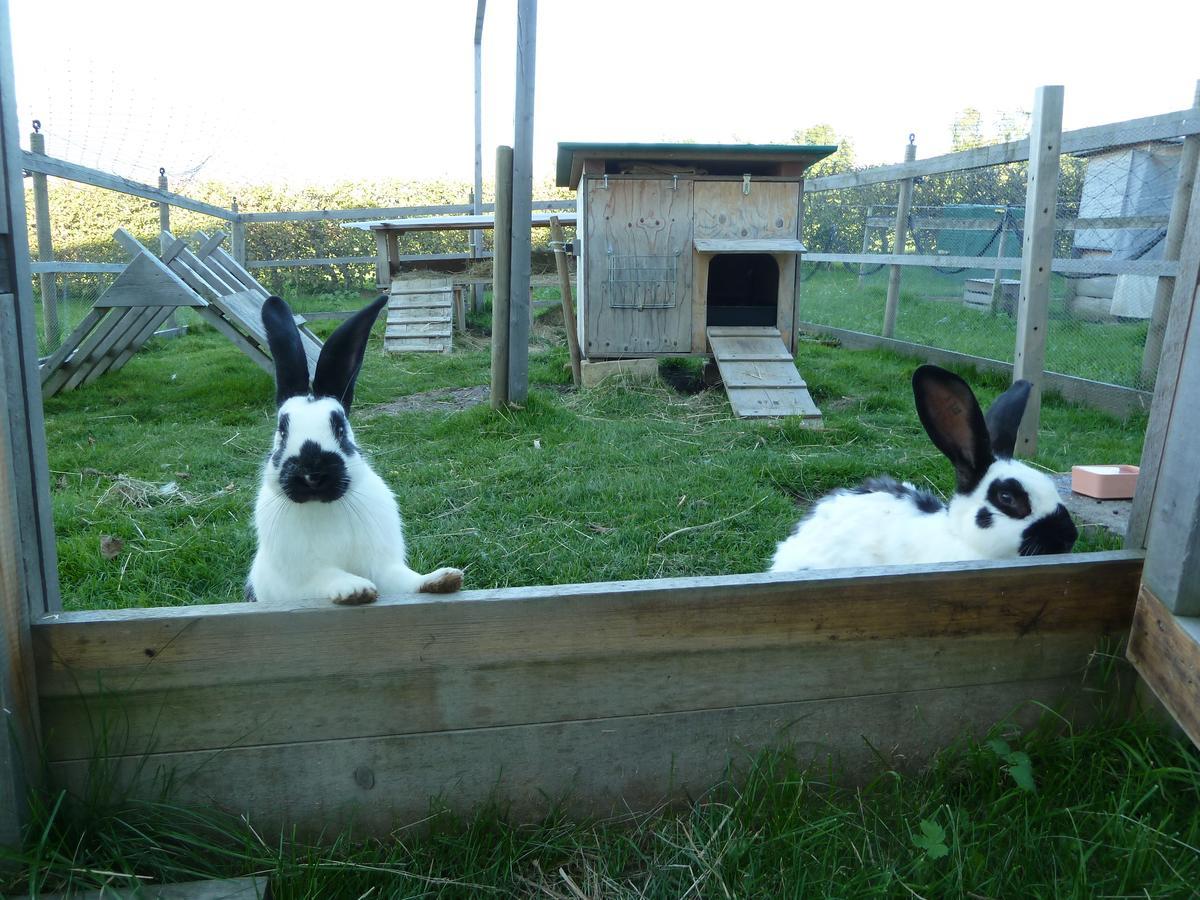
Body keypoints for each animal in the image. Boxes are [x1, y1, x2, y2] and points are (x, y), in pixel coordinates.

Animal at [244, 296, 463, 607]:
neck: (323, 506)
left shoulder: (384, 565)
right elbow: (327, 577)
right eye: (282, 431)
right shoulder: (302, 581)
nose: (312, 474)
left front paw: (444, 578)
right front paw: (355, 589)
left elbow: (404, 579)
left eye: (340, 428)